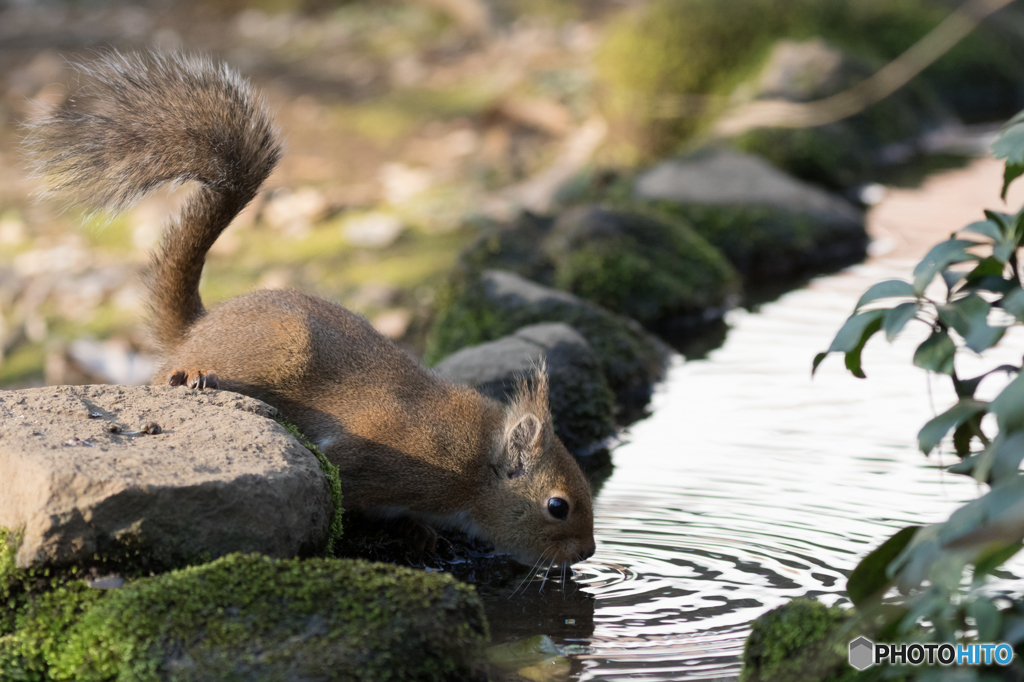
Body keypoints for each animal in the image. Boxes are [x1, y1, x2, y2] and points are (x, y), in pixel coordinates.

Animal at [28, 51, 598, 561]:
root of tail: (198, 328)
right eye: (558, 506)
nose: (589, 552)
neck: (476, 462)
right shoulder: (387, 456)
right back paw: (192, 377)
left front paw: (419, 531)